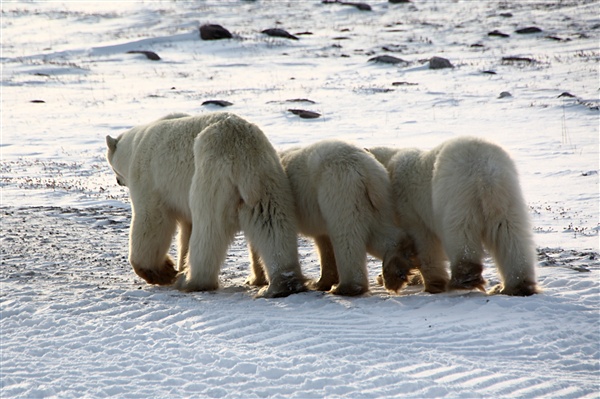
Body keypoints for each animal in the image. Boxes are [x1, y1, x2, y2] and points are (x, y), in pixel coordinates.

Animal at [103, 111, 308, 296]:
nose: (118, 181)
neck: (136, 145)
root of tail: (240, 150)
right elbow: (186, 228)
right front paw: (177, 266)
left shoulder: (148, 178)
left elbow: (151, 220)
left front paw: (164, 271)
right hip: (267, 178)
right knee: (271, 222)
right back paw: (283, 282)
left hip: (210, 176)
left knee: (208, 230)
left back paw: (191, 281)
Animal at [248, 141, 418, 296]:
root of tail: (366, 172)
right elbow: (324, 242)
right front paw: (322, 282)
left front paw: (255, 279)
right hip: (378, 200)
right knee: (378, 231)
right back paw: (397, 266)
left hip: (339, 189)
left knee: (346, 235)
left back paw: (346, 287)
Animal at [370, 138, 540, 296]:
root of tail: (486, 171)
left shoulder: (410, 207)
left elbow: (424, 242)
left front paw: (431, 284)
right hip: (507, 192)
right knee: (510, 233)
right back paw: (516, 286)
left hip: (456, 192)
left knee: (460, 232)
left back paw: (464, 279)